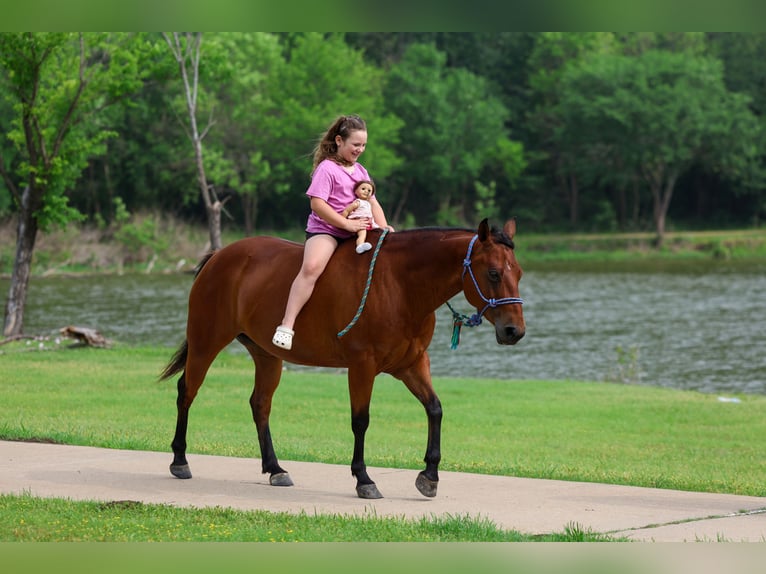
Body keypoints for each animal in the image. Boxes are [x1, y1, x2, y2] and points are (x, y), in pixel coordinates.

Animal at [159, 218, 525, 499]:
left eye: (518, 273)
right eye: (494, 273)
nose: (514, 331)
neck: (400, 286)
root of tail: (219, 255)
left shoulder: (412, 364)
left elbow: (435, 409)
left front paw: (429, 475)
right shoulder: (362, 366)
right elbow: (360, 421)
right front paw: (364, 479)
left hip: (267, 355)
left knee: (260, 404)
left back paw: (275, 468)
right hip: (206, 343)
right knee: (186, 392)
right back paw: (179, 460)